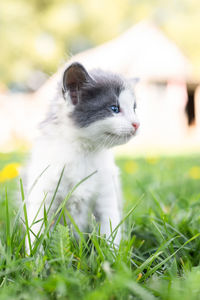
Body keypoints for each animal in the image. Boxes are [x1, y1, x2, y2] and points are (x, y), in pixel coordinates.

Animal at [25, 62, 139, 246]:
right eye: (114, 108)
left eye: (134, 109)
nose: (137, 124)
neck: (85, 151)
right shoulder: (43, 192)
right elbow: (36, 231)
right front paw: (35, 254)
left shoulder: (106, 194)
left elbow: (110, 230)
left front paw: (112, 253)